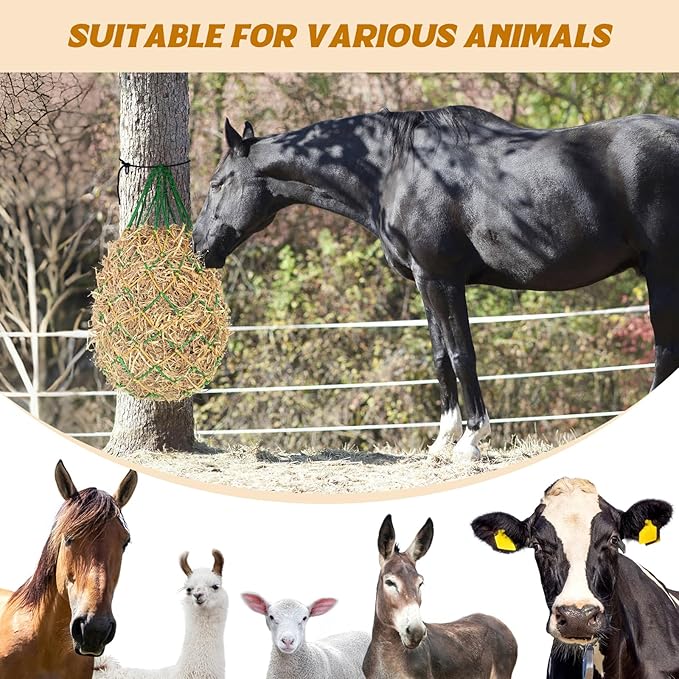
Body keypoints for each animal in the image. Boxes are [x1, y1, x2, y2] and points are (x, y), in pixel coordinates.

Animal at [192, 106, 679, 459]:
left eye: (217, 183)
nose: (198, 247)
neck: (396, 171)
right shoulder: (423, 280)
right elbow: (441, 357)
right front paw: (442, 439)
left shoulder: (442, 279)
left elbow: (463, 355)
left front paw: (471, 440)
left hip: (663, 273)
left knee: (664, 351)